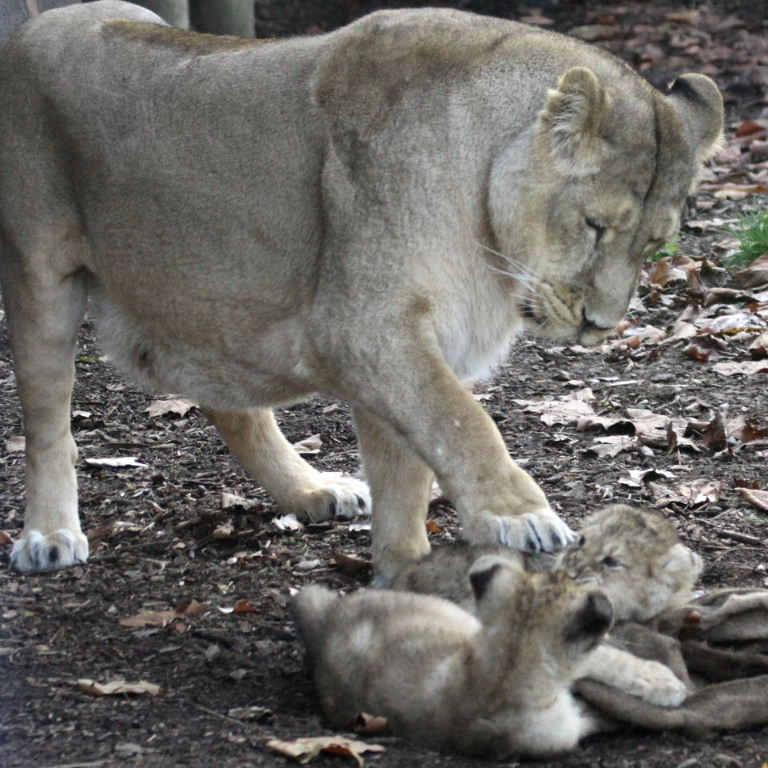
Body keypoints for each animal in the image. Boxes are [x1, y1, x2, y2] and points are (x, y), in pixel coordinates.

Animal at [0, 2, 723, 579]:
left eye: (656, 245)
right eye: (595, 225)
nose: (600, 325)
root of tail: (44, 19)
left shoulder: (404, 342)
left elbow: (409, 471)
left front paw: (406, 578)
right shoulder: (363, 327)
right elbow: (462, 420)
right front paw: (518, 515)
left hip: (208, 300)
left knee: (230, 402)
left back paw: (312, 491)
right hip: (39, 276)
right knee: (47, 420)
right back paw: (49, 534)